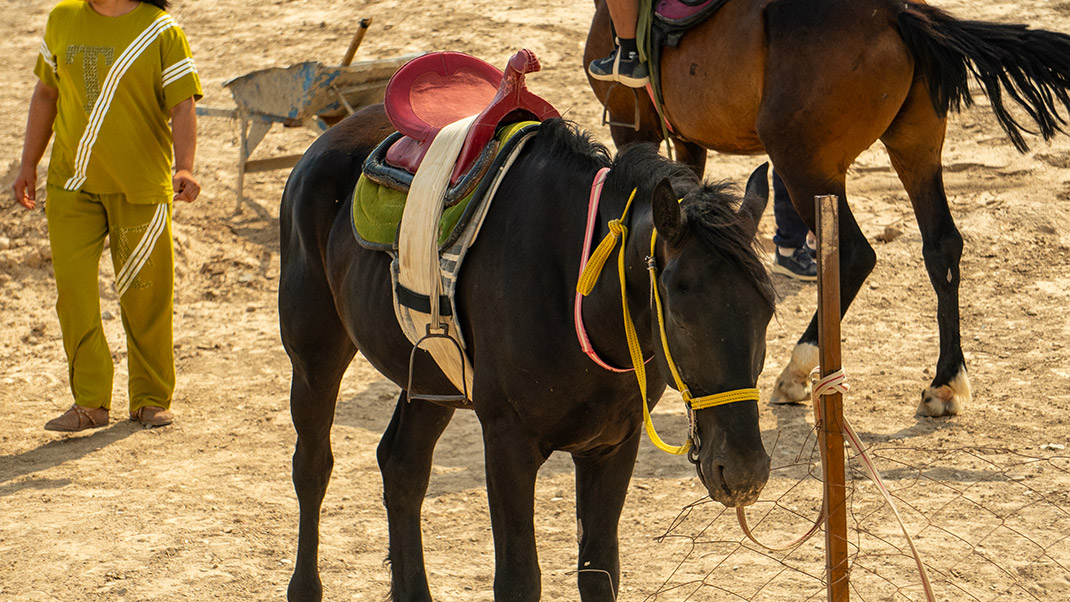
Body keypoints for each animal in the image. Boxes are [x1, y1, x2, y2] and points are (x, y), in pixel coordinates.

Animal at [278, 103, 776, 601]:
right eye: (680, 315)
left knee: (402, 466)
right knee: (312, 466)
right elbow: (518, 579)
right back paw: (304, 585)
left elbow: (600, 570)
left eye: (767, 312)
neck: (580, 296)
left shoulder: (614, 444)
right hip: (314, 353)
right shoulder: (508, 442)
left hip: (430, 377)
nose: (744, 470)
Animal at [585, 0, 1070, 417]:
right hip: (915, 145)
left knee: (855, 256)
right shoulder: (684, 139)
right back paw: (945, 381)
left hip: (805, 166)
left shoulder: (636, 128)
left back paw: (798, 368)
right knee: (942, 247)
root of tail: (896, 11)